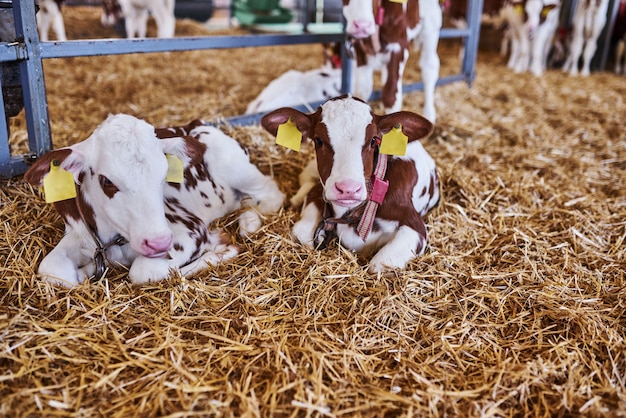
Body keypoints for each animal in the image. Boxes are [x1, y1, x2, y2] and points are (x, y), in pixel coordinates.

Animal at [24, 113, 282, 288]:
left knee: (272, 191)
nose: (159, 243)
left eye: (164, 174)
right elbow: (53, 270)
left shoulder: (191, 230)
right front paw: (84, 271)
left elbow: (142, 270)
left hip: (236, 167)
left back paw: (249, 223)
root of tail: (196, 123)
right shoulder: (80, 233)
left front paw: (219, 248)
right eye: (106, 181)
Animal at [258, 94, 438, 272]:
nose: (348, 189)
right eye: (318, 140)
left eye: (374, 140)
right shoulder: (320, 191)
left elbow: (378, 265)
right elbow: (300, 232)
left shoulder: (415, 226)